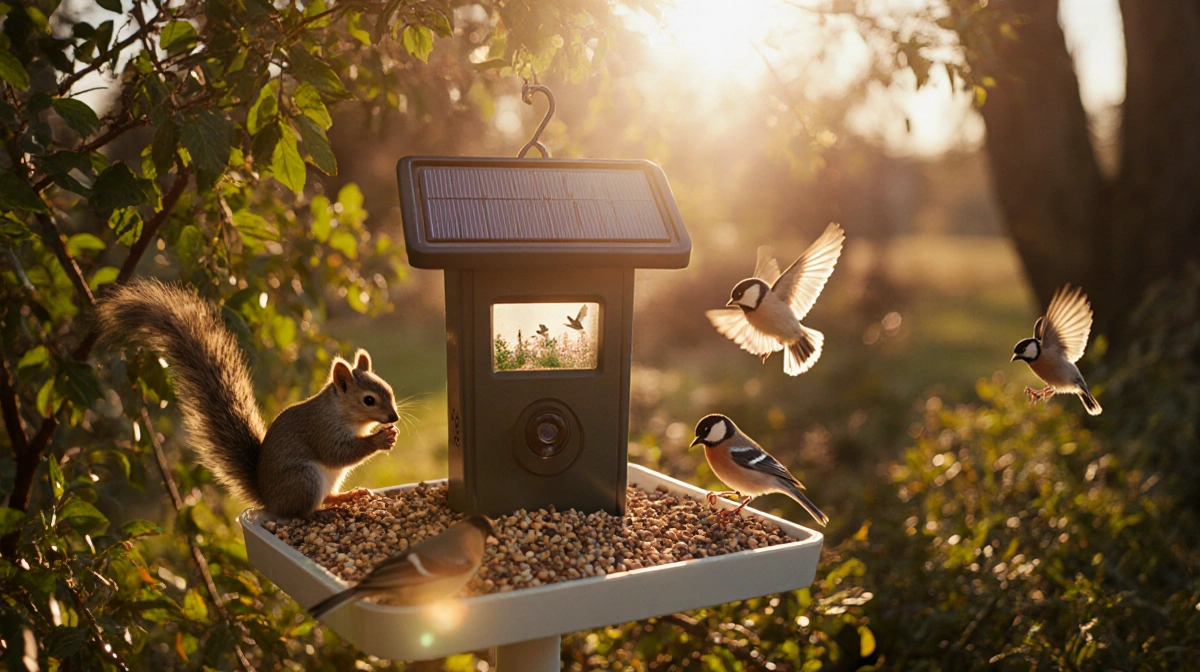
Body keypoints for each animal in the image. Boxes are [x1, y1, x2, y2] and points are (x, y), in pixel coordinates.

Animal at [95, 279, 400, 518]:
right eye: (369, 400)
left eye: (390, 390)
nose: (394, 417)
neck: (342, 413)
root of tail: (269, 499)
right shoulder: (321, 430)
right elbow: (338, 453)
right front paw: (379, 439)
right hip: (304, 478)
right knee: (301, 512)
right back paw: (321, 514)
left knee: (326, 497)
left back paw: (347, 496)